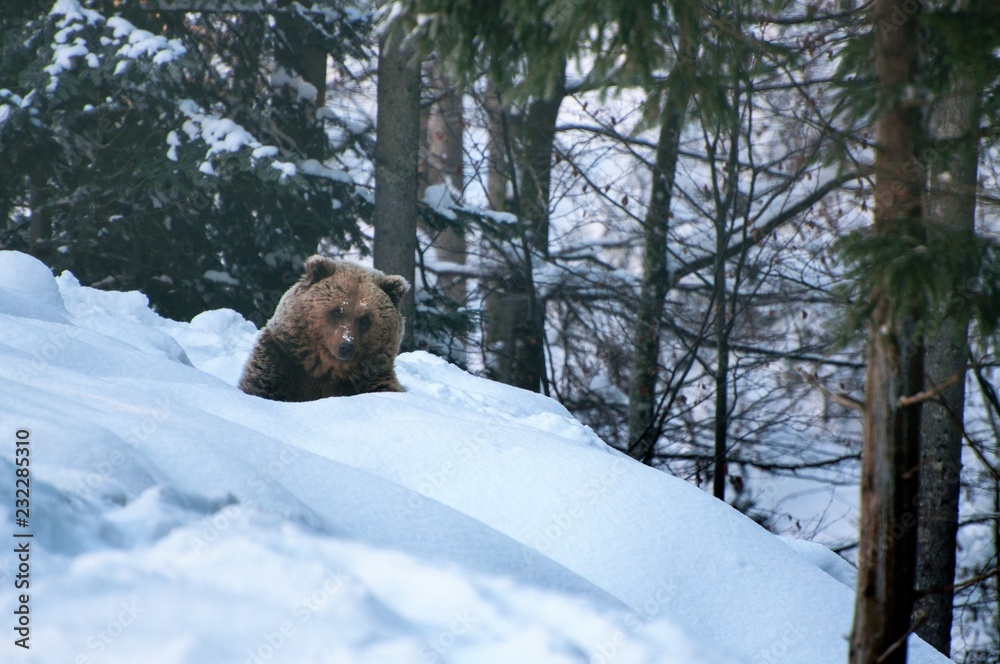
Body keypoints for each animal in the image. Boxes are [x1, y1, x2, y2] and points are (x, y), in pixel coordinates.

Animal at [238, 255, 410, 401]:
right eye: (337, 311)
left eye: (364, 318)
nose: (346, 346)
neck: (326, 369)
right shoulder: (277, 365)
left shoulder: (373, 380)